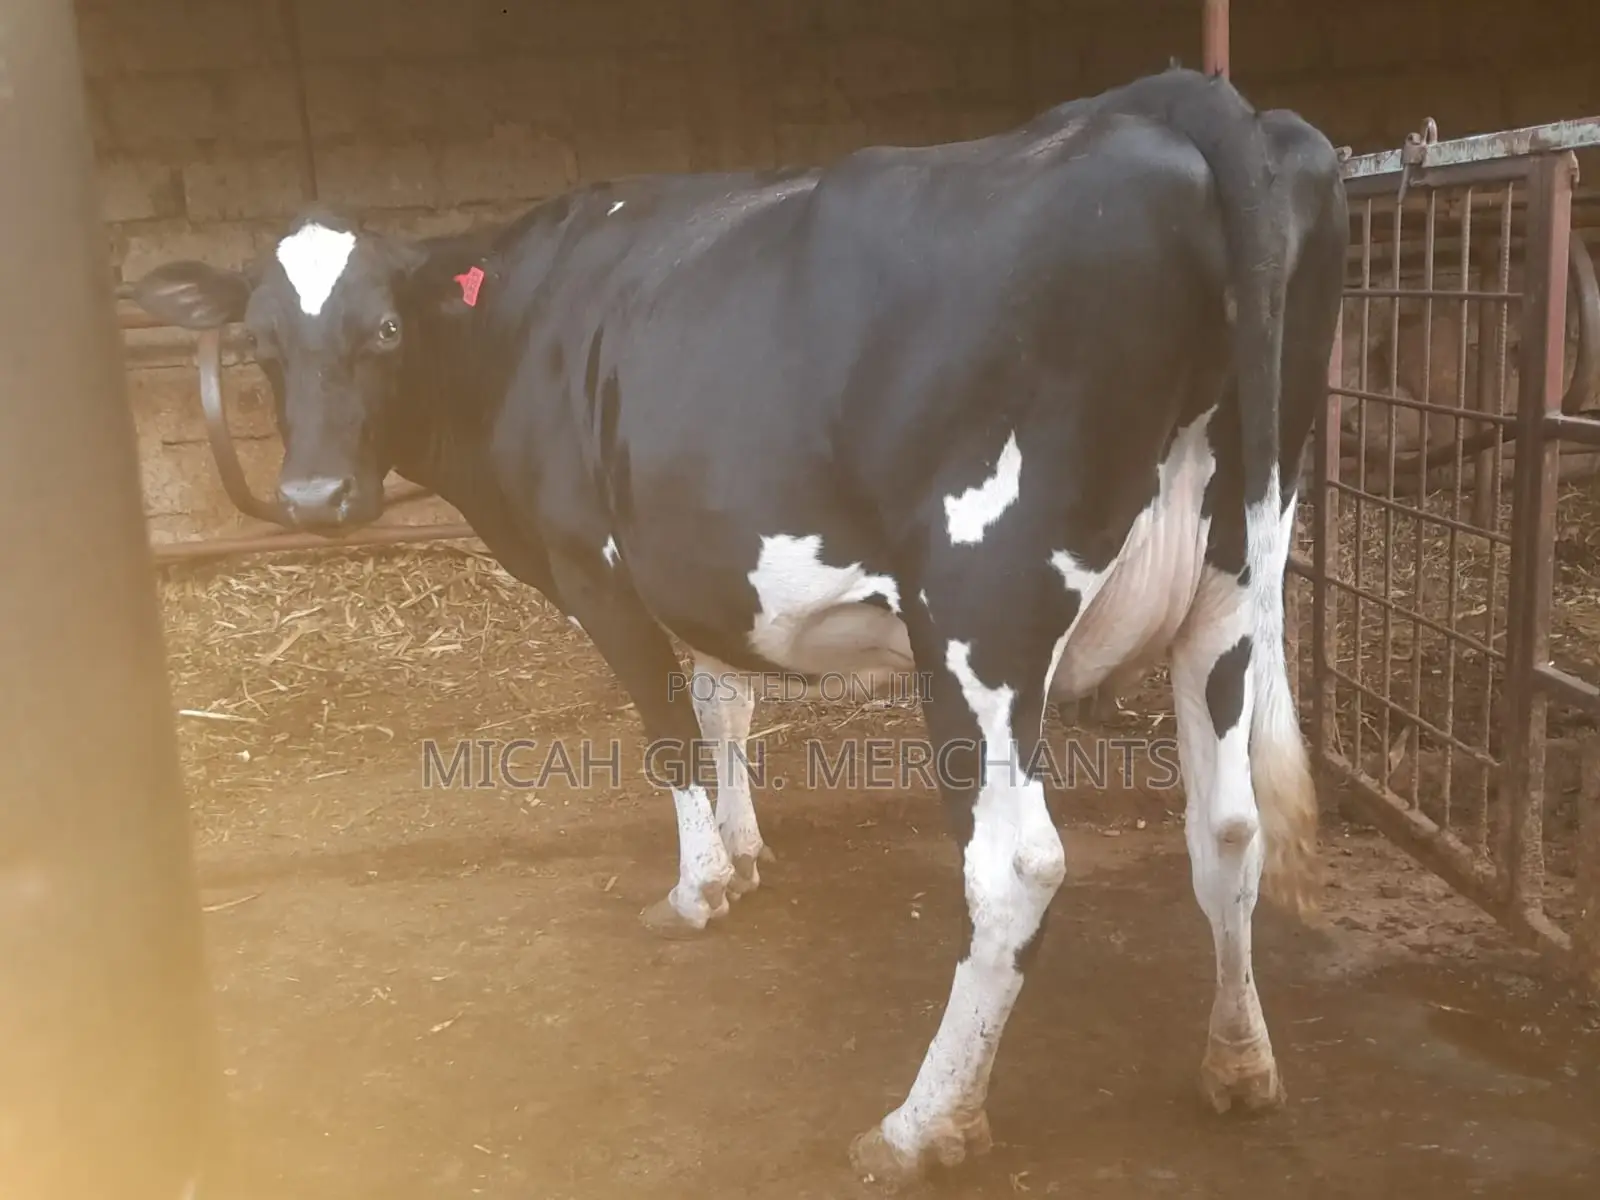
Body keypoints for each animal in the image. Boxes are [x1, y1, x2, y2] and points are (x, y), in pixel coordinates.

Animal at [129, 67, 1347, 1185]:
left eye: (383, 329)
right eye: (260, 345)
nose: (313, 498)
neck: (522, 318)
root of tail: (1169, 98)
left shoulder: (593, 566)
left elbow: (670, 724)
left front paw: (698, 887)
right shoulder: (704, 562)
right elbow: (725, 697)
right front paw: (746, 850)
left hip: (980, 611)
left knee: (1014, 867)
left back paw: (923, 1124)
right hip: (1232, 579)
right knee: (1226, 825)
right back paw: (1239, 1063)